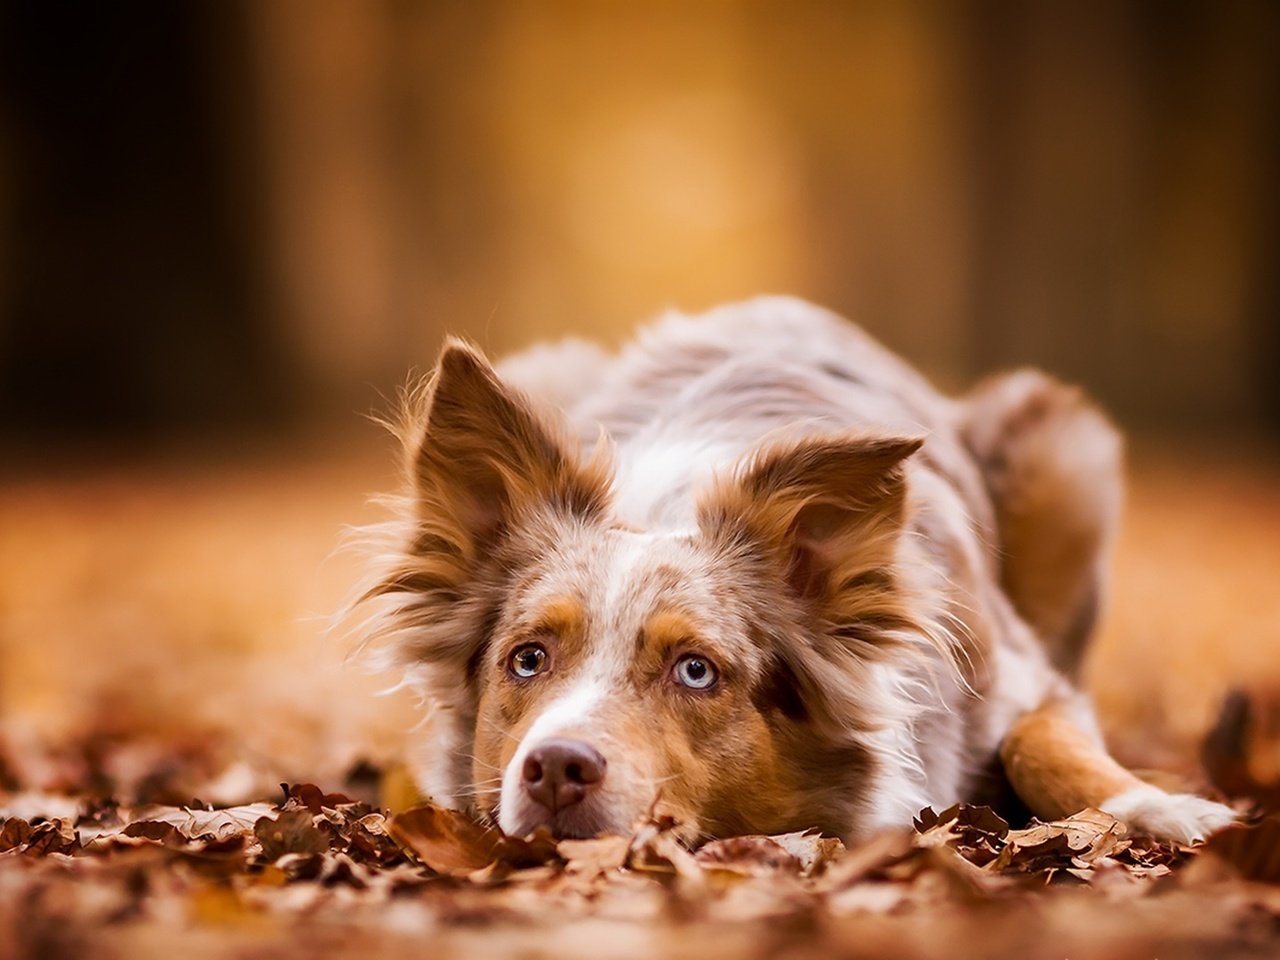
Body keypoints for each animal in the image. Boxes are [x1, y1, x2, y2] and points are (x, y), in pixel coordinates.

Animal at [353, 296, 1239, 844]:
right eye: (527, 659)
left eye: (696, 671)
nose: (556, 768)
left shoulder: (1028, 677)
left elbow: (1041, 744)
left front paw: (1168, 811)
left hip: (1063, 448)